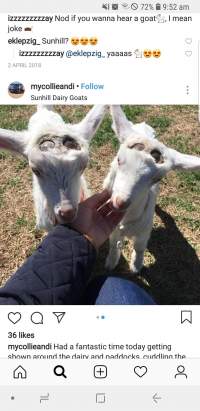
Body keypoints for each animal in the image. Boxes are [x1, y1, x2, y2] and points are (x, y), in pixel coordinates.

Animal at [104, 106, 199, 274]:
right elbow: (113, 244)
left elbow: (139, 247)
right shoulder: (113, 229)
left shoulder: (144, 232)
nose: (120, 202)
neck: (126, 222)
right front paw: (111, 263)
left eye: (157, 179)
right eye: (119, 160)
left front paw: (136, 266)